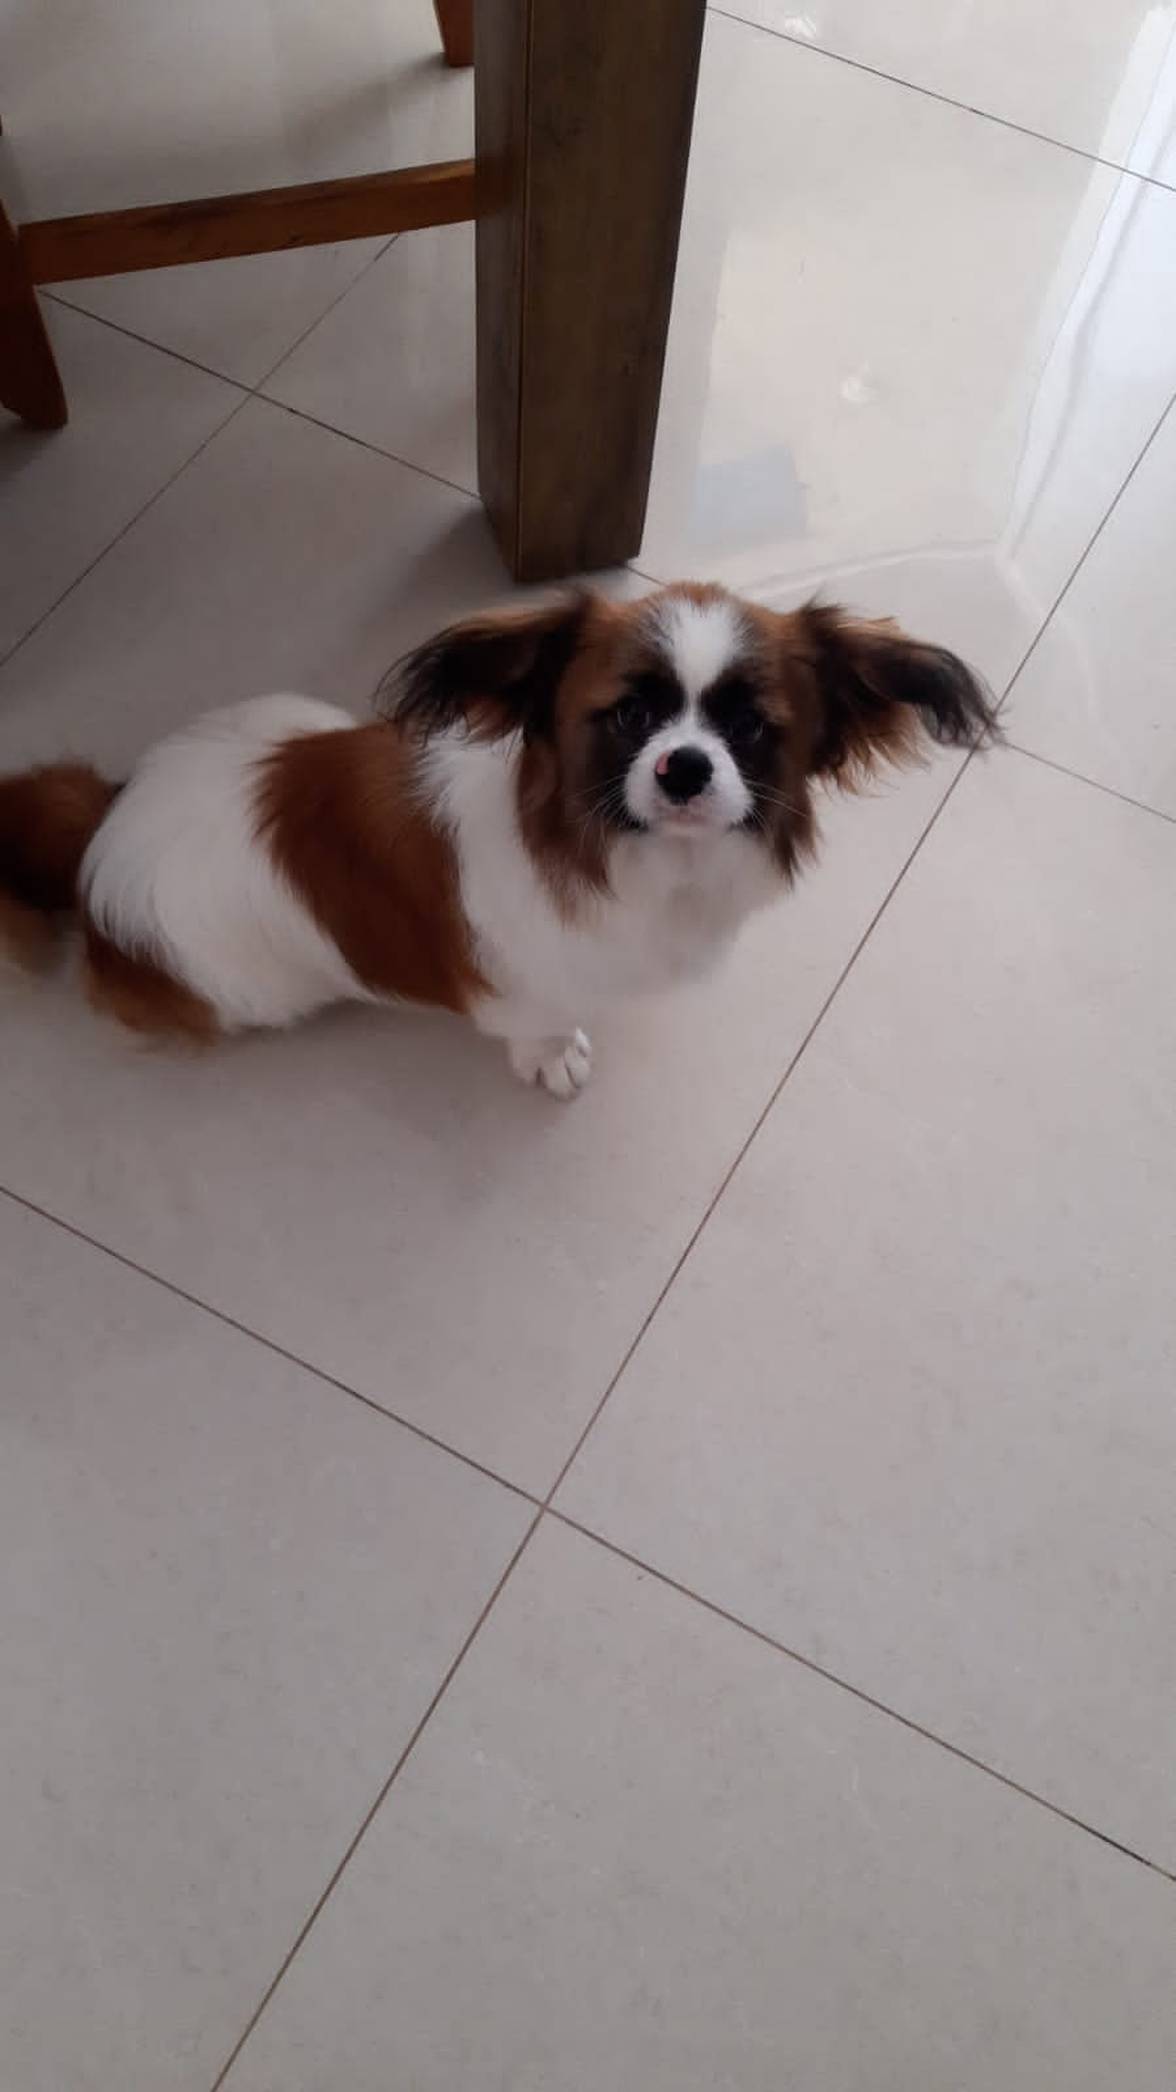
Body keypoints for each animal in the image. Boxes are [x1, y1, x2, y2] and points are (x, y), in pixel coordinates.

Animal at [0, 584, 997, 1095]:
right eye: (631, 715)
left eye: (749, 728)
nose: (684, 767)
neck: (619, 854)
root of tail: (103, 828)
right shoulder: (523, 980)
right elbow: (541, 1025)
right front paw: (555, 1060)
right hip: (245, 991)